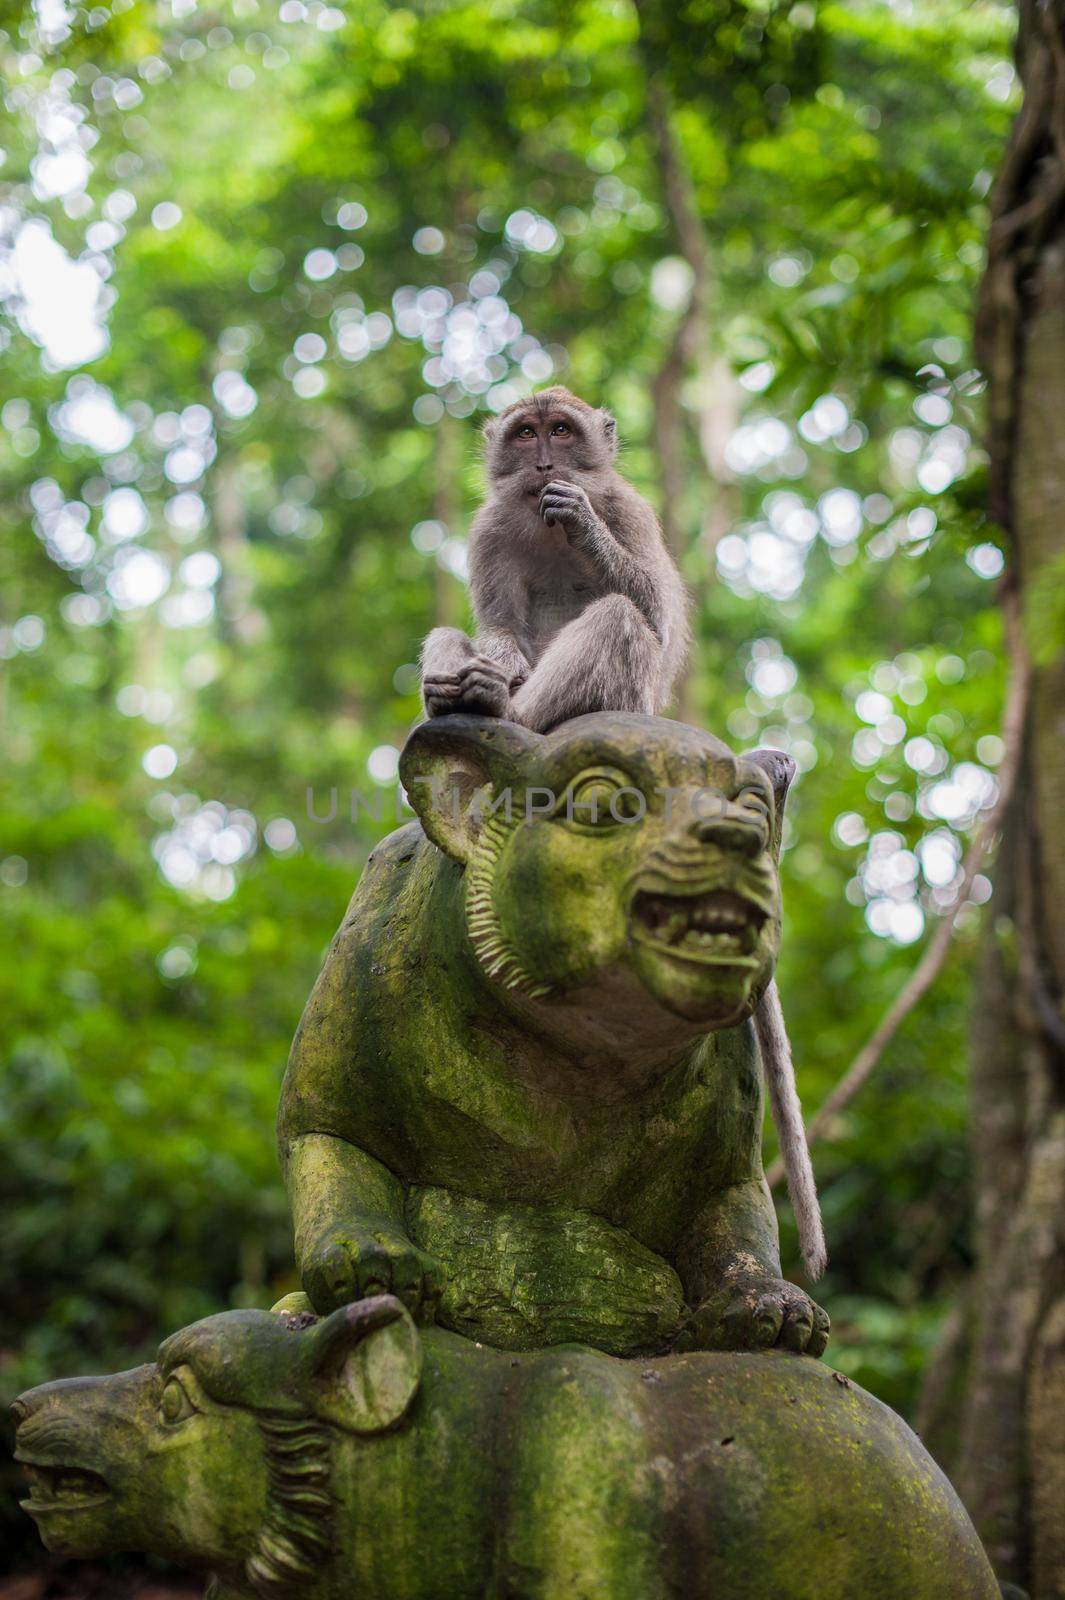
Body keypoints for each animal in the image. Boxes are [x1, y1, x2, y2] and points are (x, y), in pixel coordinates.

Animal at [418, 387, 684, 736]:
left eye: (560, 430)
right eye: (526, 433)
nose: (544, 465)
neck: (552, 531)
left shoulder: (630, 511)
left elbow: (658, 617)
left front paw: (583, 521)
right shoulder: (488, 531)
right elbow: (500, 625)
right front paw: (507, 663)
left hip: (630, 705)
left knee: (617, 615)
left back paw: (507, 709)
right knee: (445, 635)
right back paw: (451, 698)